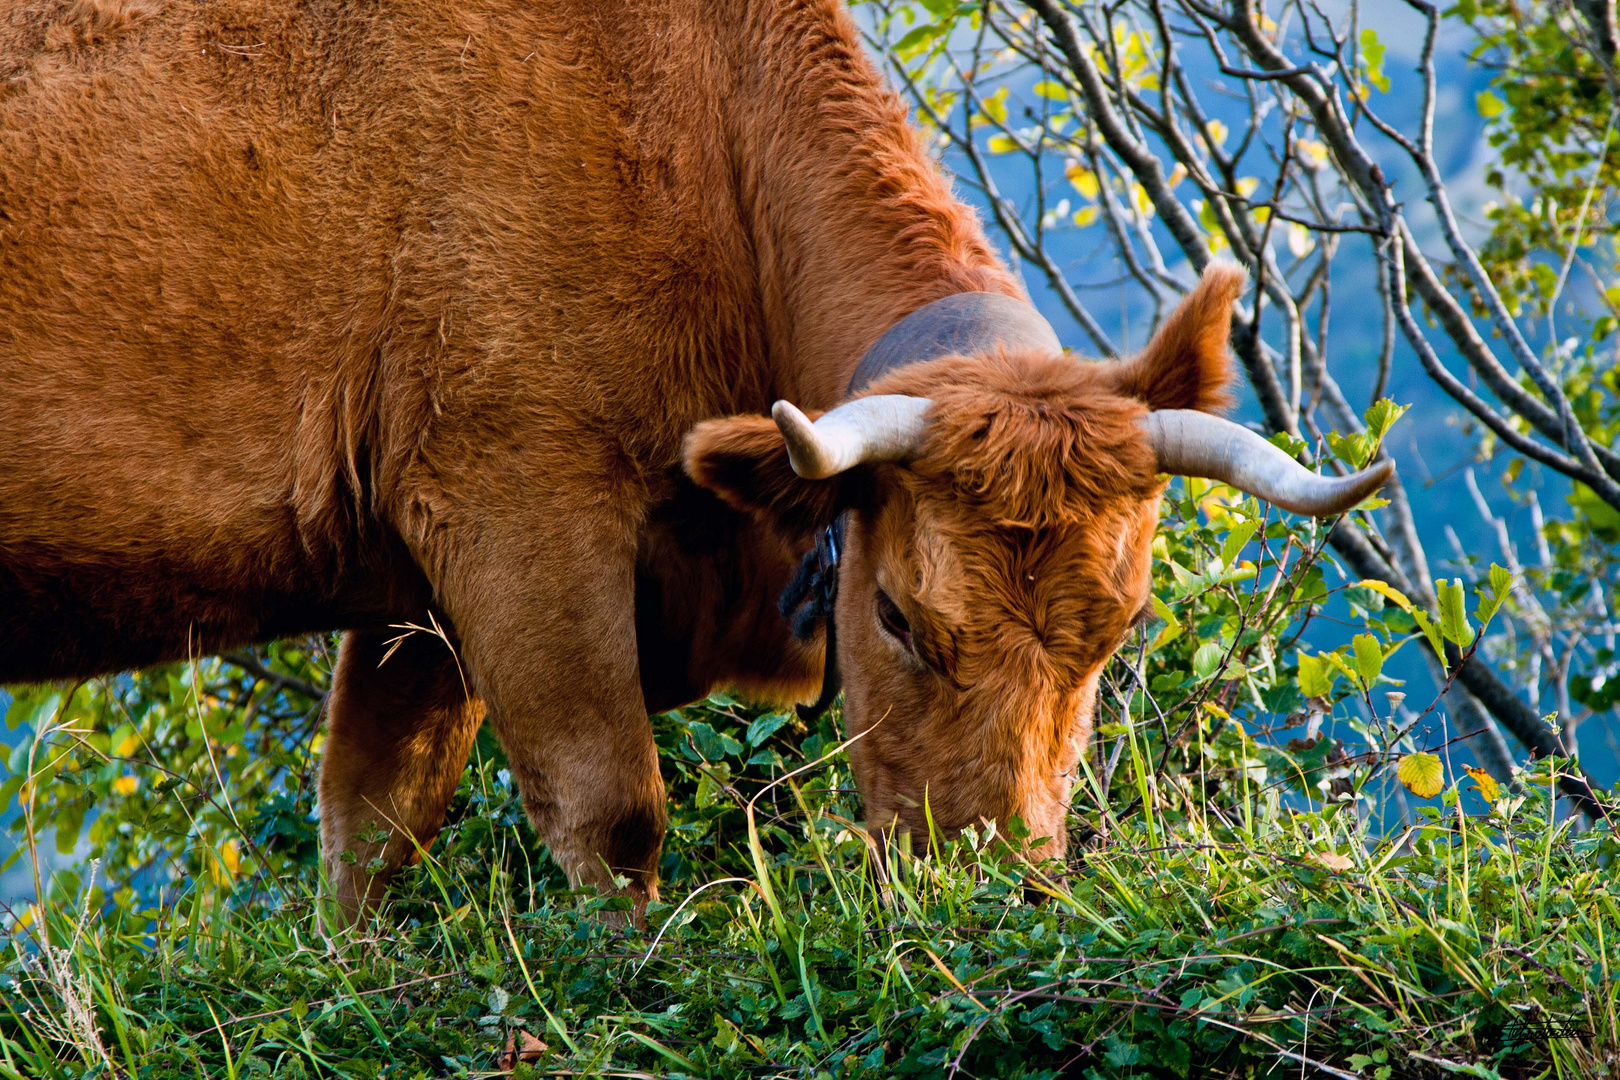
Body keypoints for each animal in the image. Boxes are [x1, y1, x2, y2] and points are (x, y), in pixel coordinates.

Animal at [0, 0, 1393, 913]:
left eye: (1120, 630)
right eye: (895, 615)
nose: (995, 883)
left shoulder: (412, 590)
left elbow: (373, 828)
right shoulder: (514, 499)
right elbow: (610, 810)